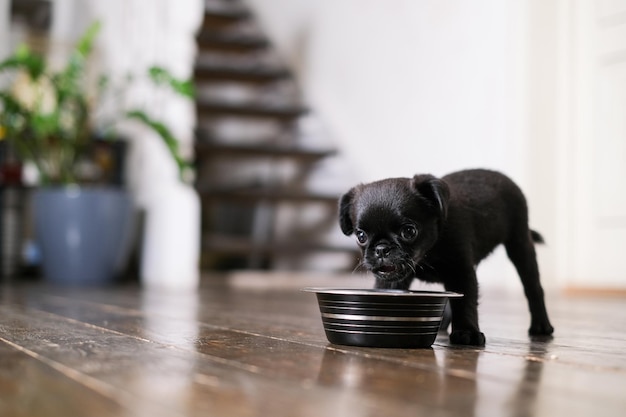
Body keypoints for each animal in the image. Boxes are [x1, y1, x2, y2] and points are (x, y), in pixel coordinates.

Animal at [338, 167, 552, 346]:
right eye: (361, 236)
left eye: (409, 231)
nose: (382, 249)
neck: (428, 253)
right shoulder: (392, 282)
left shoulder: (460, 271)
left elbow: (465, 302)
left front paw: (467, 332)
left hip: (520, 244)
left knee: (533, 288)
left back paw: (541, 326)